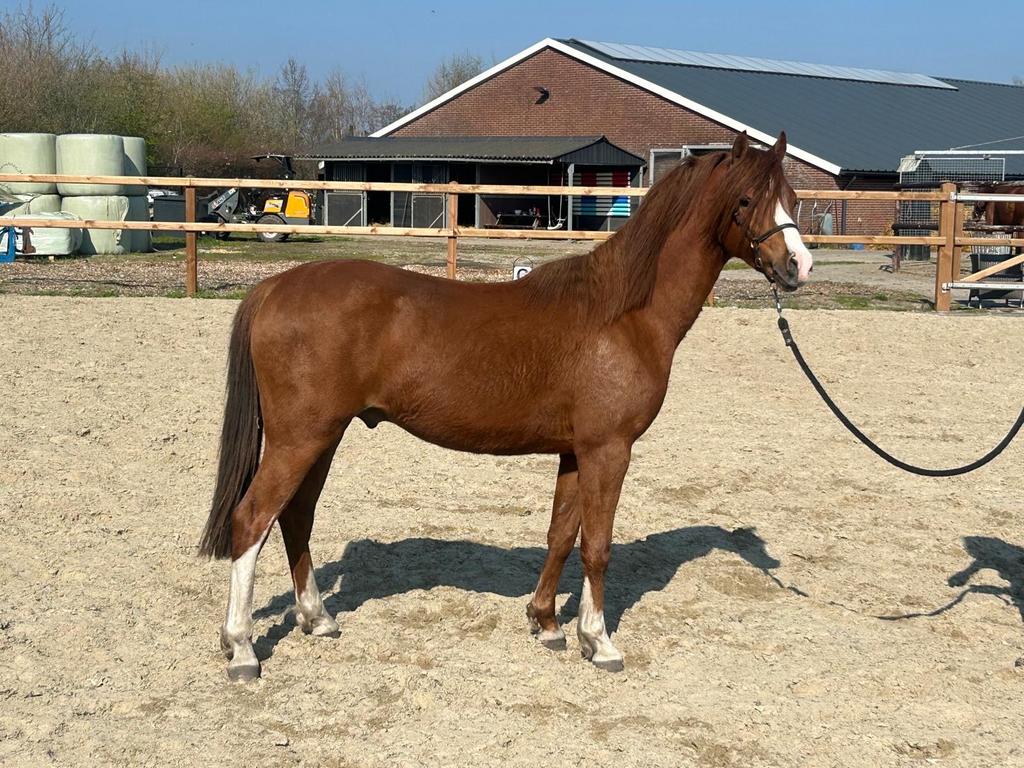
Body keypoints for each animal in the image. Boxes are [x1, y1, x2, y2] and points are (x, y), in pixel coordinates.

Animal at [199, 131, 813, 682]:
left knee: (295, 517)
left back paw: (318, 618)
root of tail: (273, 288)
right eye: (745, 201)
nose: (798, 266)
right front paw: (600, 642)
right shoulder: (608, 449)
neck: (623, 314)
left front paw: (547, 623)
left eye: (792, 195)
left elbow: (561, 535)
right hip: (300, 438)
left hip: (322, 437)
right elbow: (597, 547)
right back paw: (243, 649)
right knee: (252, 520)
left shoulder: (576, 452)